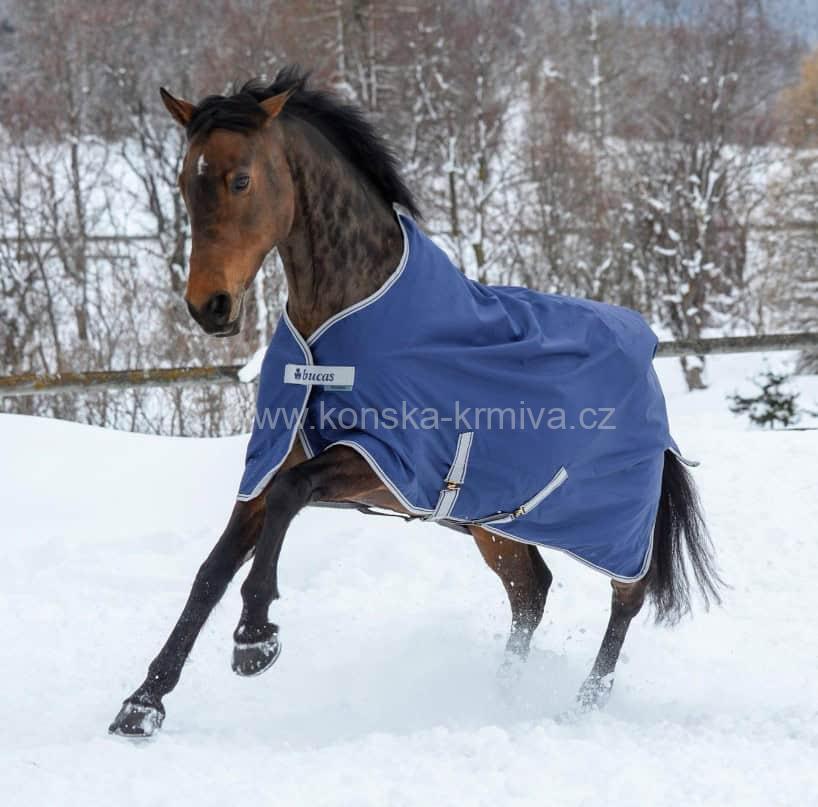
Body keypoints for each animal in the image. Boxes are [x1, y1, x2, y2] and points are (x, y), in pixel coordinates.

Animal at [109, 66, 722, 738]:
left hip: (615, 523)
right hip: (494, 525)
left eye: (240, 178)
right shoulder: (272, 463)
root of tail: (647, 354)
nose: (209, 307)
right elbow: (212, 570)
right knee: (530, 591)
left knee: (626, 598)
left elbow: (290, 499)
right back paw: (499, 696)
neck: (336, 328)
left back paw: (582, 704)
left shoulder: (384, 464)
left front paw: (254, 638)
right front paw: (143, 704)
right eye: (184, 182)